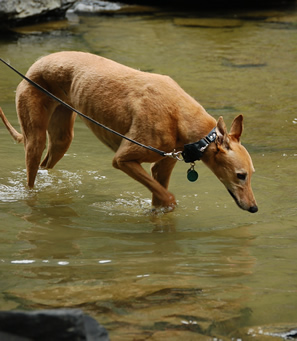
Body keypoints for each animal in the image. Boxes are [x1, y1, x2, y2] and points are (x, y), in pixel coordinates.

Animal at [0, 50, 256, 211]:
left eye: (252, 174)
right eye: (240, 175)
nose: (254, 208)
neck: (179, 115)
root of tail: (35, 64)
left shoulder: (161, 167)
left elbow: (160, 197)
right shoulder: (123, 159)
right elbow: (168, 198)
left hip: (62, 138)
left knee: (47, 165)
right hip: (35, 139)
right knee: (31, 177)